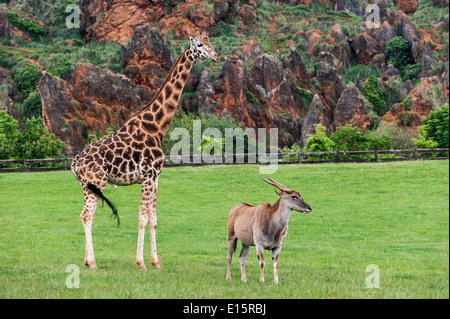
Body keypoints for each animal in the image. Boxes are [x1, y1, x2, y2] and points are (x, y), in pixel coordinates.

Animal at [71, 29, 220, 270]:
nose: (216, 56)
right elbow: (142, 218)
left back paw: (87, 261)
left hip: (87, 185)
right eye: (199, 44)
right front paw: (141, 263)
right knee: (86, 216)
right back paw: (92, 263)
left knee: (85, 215)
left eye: (210, 42)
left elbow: (153, 220)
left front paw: (156, 262)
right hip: (96, 182)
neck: (158, 127)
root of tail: (75, 162)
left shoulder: (156, 177)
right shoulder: (149, 175)